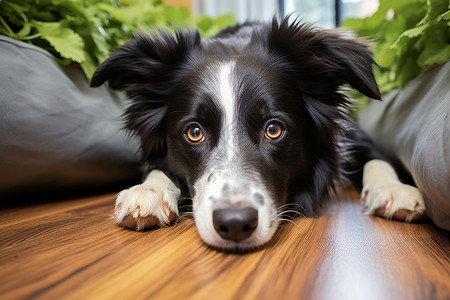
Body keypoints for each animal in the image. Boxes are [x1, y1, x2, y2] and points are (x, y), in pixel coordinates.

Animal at [90, 17, 426, 251]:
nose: (235, 224)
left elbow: (376, 158)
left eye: (273, 129)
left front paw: (394, 189)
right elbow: (159, 168)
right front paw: (148, 191)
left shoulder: (355, 136)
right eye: (194, 132)